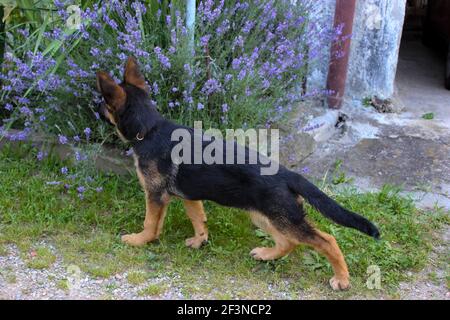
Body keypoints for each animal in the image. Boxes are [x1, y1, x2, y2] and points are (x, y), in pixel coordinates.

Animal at [96, 56, 380, 292]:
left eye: (105, 103)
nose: (94, 108)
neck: (149, 129)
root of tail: (288, 174)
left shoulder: (155, 196)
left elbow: (150, 224)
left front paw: (139, 240)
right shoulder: (190, 197)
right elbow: (199, 221)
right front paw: (199, 242)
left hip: (283, 218)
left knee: (326, 240)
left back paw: (341, 278)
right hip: (265, 216)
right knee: (288, 243)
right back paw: (266, 255)